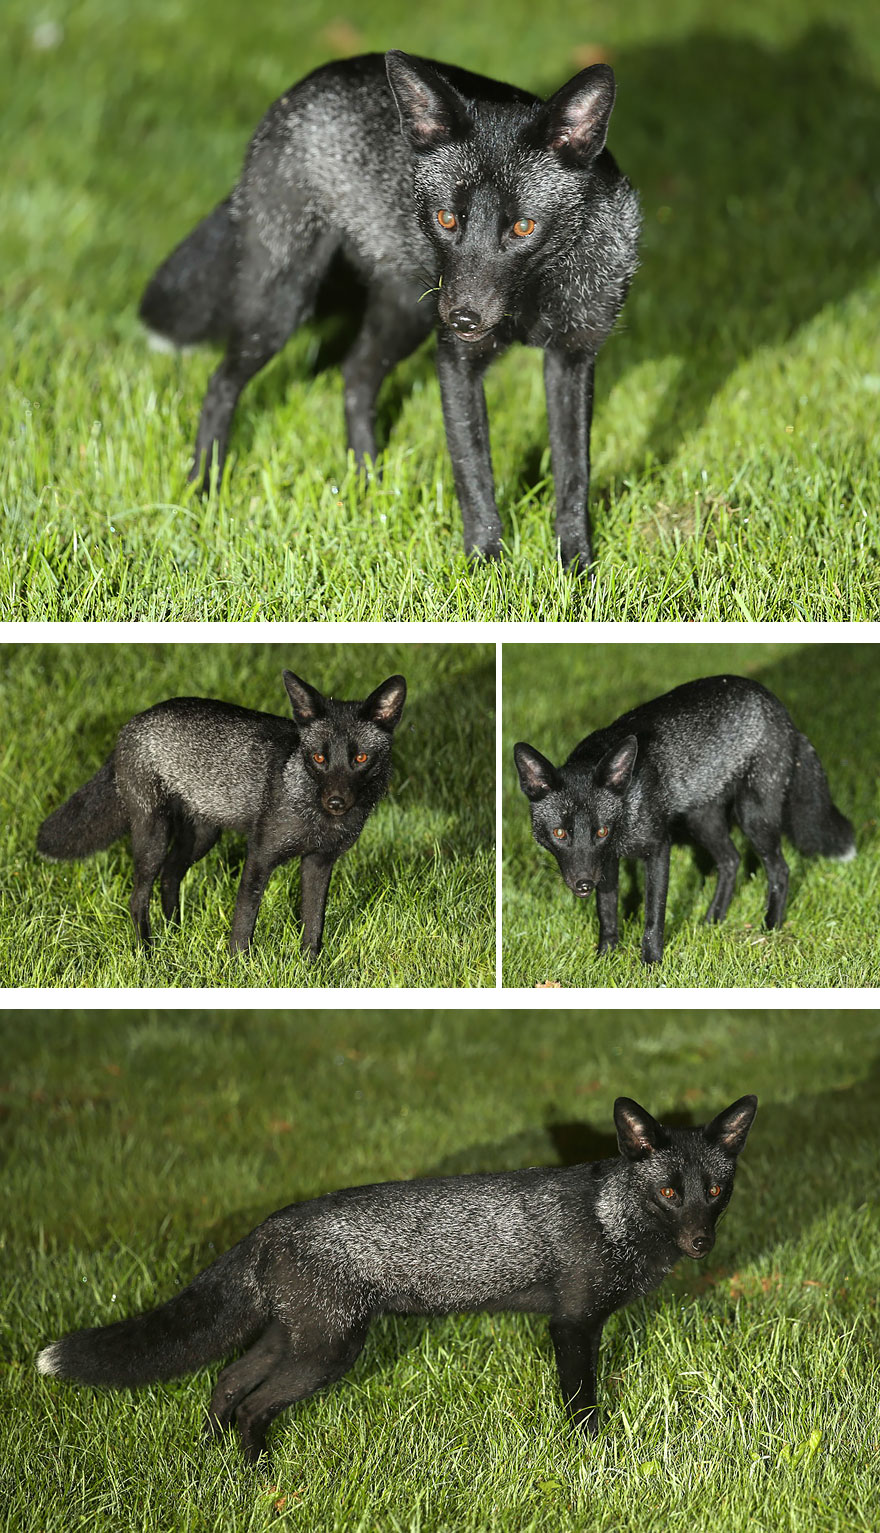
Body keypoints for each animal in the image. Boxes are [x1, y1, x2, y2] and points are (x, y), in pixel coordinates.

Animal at [36, 670, 406, 957]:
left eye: (360, 759)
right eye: (318, 758)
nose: (336, 802)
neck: (315, 816)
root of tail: (133, 723)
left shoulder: (319, 861)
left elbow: (314, 924)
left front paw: (310, 969)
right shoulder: (260, 856)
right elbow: (244, 922)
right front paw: (238, 967)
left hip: (202, 837)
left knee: (170, 876)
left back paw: (176, 933)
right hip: (154, 835)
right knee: (137, 897)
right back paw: (148, 952)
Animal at [36, 1094, 757, 1463]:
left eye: (715, 1191)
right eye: (668, 1191)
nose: (701, 1243)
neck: (615, 1218)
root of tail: (270, 1223)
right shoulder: (572, 1325)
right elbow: (582, 1407)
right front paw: (596, 1460)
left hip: (295, 1339)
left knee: (226, 1384)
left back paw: (222, 1468)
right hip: (329, 1353)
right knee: (249, 1404)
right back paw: (259, 1473)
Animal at [140, 51, 641, 572]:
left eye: (523, 227)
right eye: (446, 219)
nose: (464, 320)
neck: (535, 297)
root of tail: (303, 87)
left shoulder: (573, 357)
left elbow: (573, 475)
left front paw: (576, 569)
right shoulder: (456, 361)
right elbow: (474, 477)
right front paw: (485, 569)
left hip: (406, 318)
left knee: (355, 375)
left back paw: (368, 483)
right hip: (283, 307)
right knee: (221, 384)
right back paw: (204, 486)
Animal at [514, 674, 855, 965]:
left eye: (601, 831)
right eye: (560, 833)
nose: (583, 884)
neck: (630, 802)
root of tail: (783, 714)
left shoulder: (656, 848)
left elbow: (653, 915)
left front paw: (651, 963)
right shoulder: (606, 861)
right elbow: (607, 910)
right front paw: (605, 957)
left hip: (753, 817)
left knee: (780, 870)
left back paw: (770, 926)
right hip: (702, 820)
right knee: (731, 860)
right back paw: (713, 920)